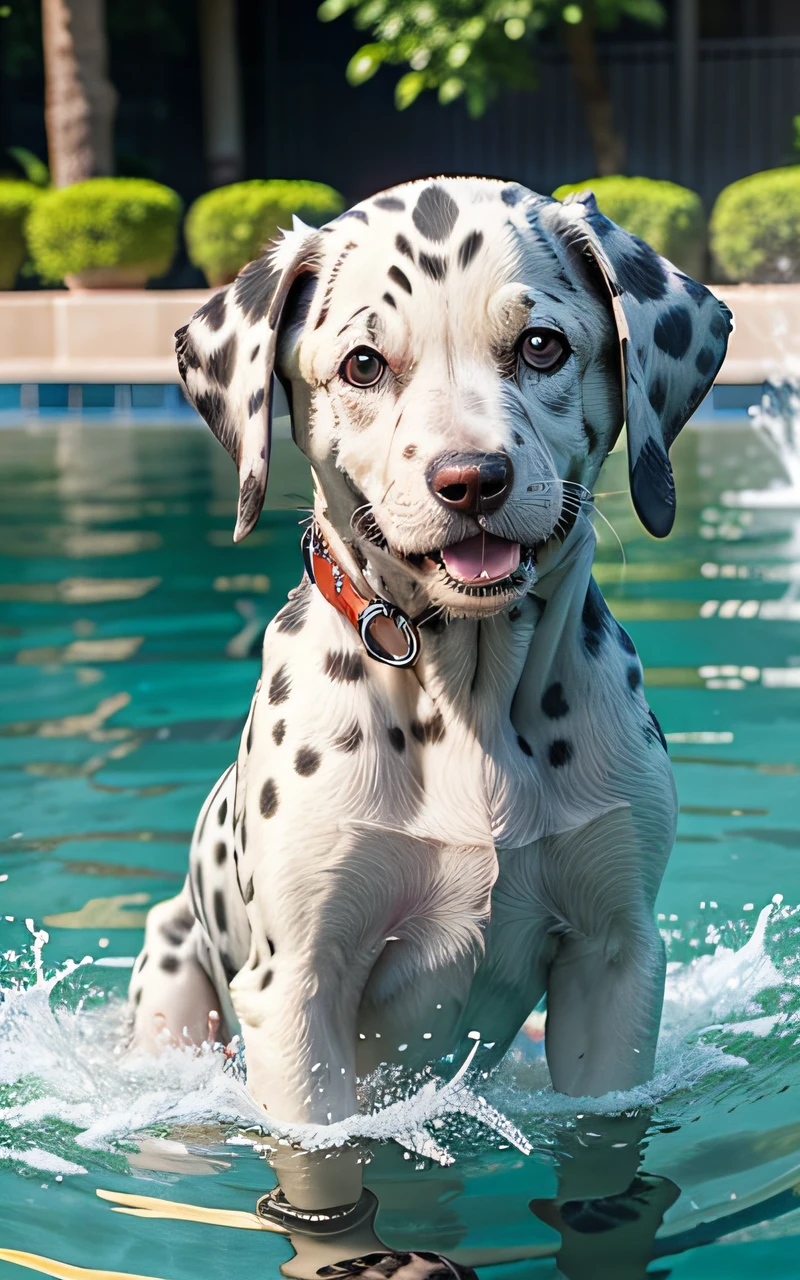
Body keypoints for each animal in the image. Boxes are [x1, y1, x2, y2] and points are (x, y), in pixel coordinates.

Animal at [129, 180, 732, 1228]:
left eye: (541, 345)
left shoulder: (615, 964)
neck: (471, 703)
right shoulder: (296, 993)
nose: (469, 479)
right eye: (364, 364)